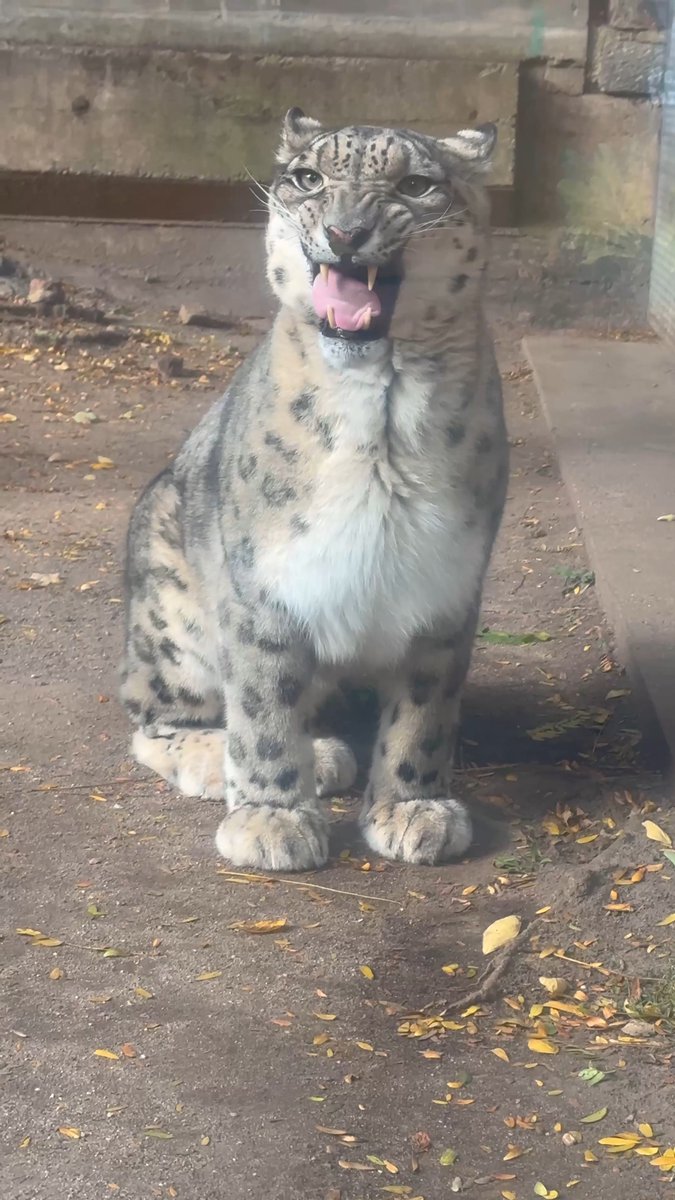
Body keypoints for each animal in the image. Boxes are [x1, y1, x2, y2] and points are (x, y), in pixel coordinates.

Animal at [119, 108, 508, 873]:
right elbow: (263, 704)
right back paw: (243, 761)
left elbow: (423, 710)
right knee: (151, 715)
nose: (345, 232)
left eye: (416, 185)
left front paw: (412, 807)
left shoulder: (445, 584)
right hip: (173, 620)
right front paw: (270, 819)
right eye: (307, 178)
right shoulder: (264, 585)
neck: (381, 415)